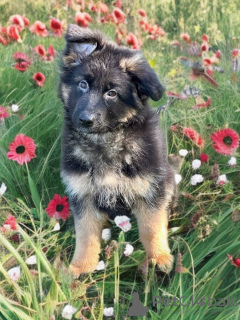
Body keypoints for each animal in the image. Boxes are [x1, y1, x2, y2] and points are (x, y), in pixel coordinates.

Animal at [59, 23, 177, 276]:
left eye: (111, 93)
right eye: (82, 84)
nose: (85, 120)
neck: (107, 139)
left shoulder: (151, 189)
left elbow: (152, 228)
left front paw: (160, 257)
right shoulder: (82, 193)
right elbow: (86, 235)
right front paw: (80, 266)